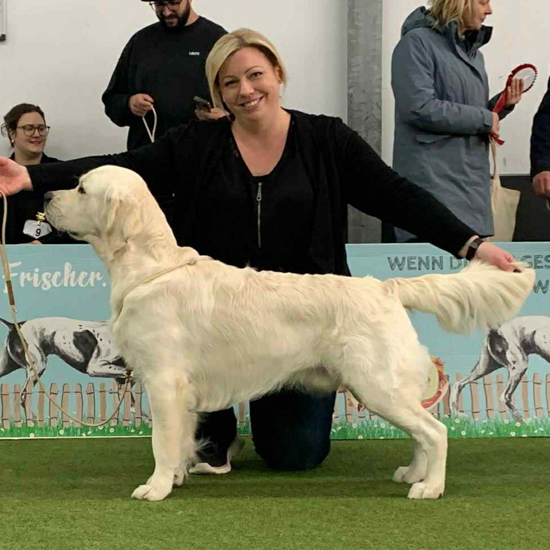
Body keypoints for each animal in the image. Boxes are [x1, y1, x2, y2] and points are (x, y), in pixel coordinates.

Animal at [0, 317, 129, 404]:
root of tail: (14, 325)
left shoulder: (120, 379)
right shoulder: (95, 367)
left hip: (6, 367)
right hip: (37, 368)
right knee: (24, 397)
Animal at [43, 165, 535, 501]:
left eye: (82, 188)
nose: (46, 193)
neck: (149, 269)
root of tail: (385, 286)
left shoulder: (164, 381)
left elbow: (161, 442)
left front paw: (157, 487)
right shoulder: (179, 391)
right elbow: (181, 438)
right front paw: (178, 477)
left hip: (376, 384)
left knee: (435, 431)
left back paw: (429, 488)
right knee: (422, 433)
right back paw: (414, 474)